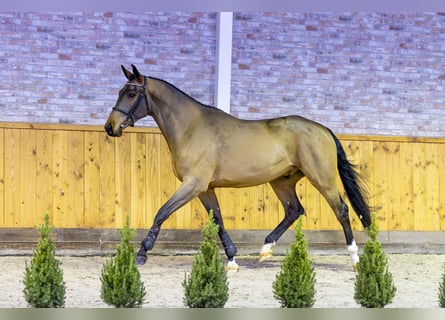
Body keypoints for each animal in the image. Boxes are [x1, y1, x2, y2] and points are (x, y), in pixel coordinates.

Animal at [105, 64, 372, 270]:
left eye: (131, 94)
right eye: (120, 91)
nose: (110, 127)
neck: (191, 127)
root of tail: (323, 129)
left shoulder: (193, 185)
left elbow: (162, 212)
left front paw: (142, 253)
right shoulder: (205, 189)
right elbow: (218, 220)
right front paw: (232, 259)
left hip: (322, 178)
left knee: (342, 210)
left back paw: (354, 258)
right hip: (282, 181)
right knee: (294, 210)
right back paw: (265, 249)